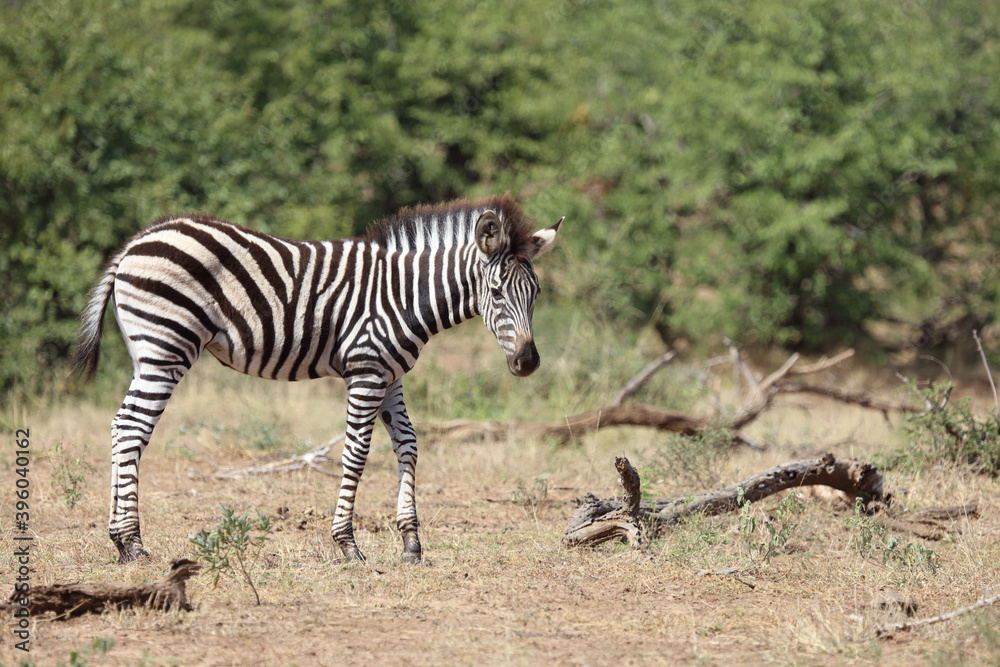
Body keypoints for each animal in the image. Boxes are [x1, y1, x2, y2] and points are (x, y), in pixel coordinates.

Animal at [70, 194, 562, 564]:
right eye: (496, 292)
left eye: (536, 293)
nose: (528, 362)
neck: (404, 295)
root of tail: (138, 240)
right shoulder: (366, 370)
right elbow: (356, 454)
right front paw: (347, 545)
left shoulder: (390, 375)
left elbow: (408, 445)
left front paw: (411, 543)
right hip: (165, 348)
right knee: (133, 429)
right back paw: (133, 543)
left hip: (146, 353)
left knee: (120, 427)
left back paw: (119, 541)